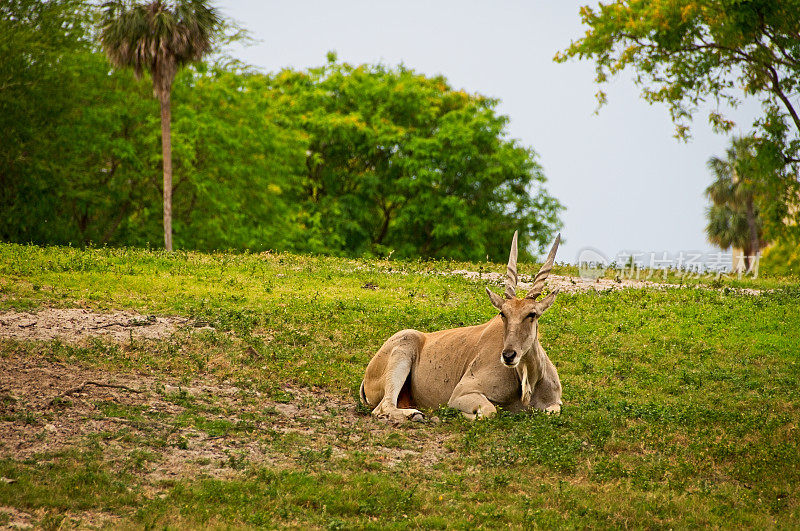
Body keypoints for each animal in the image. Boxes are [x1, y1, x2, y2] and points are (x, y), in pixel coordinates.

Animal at [360, 231, 564, 422]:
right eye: (503, 313)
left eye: (532, 314)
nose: (508, 355)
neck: (527, 382)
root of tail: (367, 376)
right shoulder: (461, 394)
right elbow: (489, 411)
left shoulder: (555, 403)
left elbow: (552, 411)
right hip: (403, 348)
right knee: (383, 407)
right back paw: (416, 414)